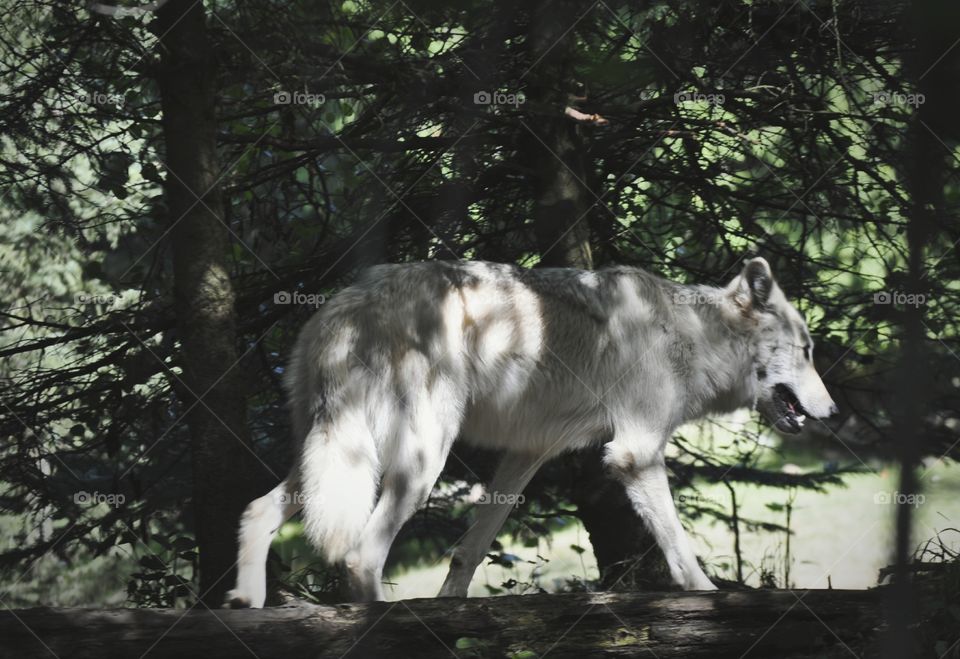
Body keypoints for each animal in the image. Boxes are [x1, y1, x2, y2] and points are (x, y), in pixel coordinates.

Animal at [225, 257, 837, 607]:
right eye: (807, 351)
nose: (832, 412)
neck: (695, 335)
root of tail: (349, 306)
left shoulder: (526, 456)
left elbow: (469, 550)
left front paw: (453, 606)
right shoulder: (634, 454)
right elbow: (678, 546)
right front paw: (706, 595)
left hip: (331, 459)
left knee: (256, 509)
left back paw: (246, 603)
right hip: (418, 467)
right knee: (360, 557)